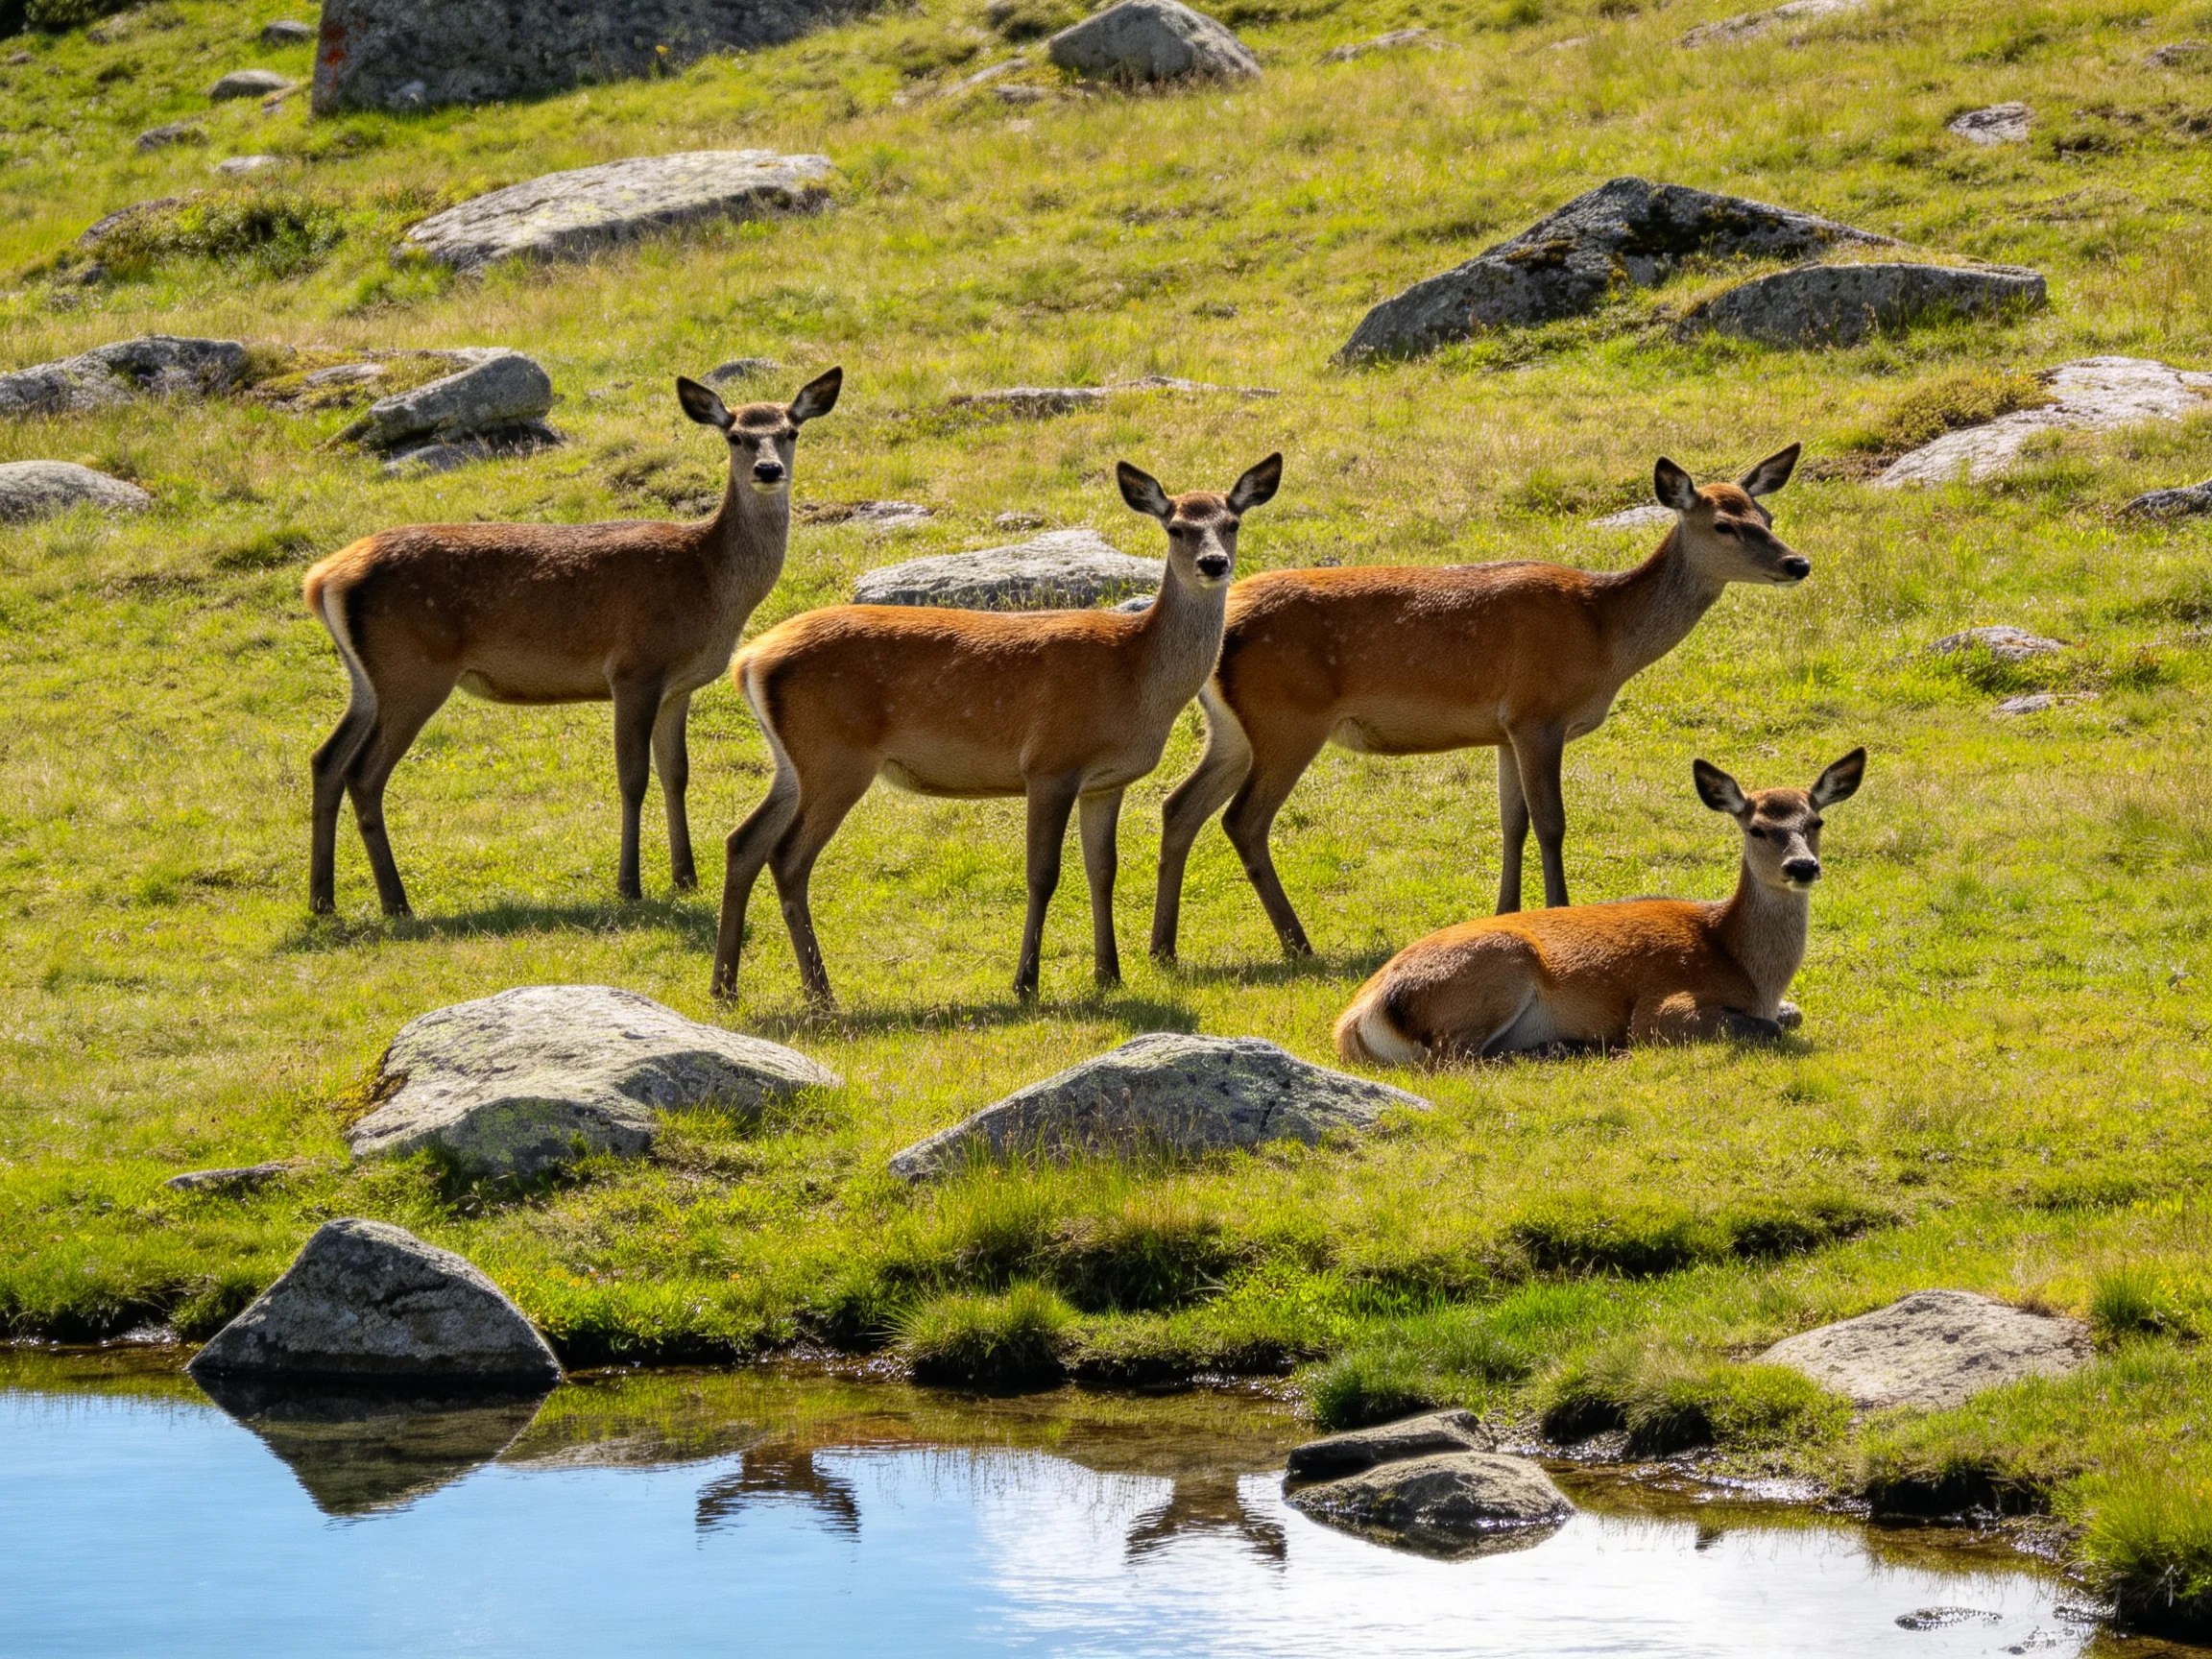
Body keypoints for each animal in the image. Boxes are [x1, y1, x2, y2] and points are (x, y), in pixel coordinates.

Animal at [303, 367, 843, 918]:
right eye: (734, 436)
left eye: (791, 431)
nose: (768, 469)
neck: (708, 582)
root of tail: (323, 577)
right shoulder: (634, 668)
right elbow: (633, 777)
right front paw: (629, 884)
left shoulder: (679, 687)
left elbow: (677, 773)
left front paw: (686, 876)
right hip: (413, 669)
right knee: (363, 772)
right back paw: (396, 902)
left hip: (370, 679)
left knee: (327, 758)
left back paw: (322, 898)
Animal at [710, 453, 1284, 1006]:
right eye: (1177, 527)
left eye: (1232, 522)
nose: (1214, 563)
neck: (1135, 675)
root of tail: (749, 660)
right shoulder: (1050, 762)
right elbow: (1043, 873)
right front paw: (1026, 982)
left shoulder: (1106, 781)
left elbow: (1103, 870)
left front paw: (1109, 975)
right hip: (836, 757)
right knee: (787, 857)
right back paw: (820, 993)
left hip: (795, 763)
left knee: (743, 841)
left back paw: (725, 986)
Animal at [1150, 443, 1809, 964]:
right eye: (1723, 524)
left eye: (1767, 514)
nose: (1796, 562)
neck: (1603, 635)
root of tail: (1222, 624)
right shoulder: (1538, 712)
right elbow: (1551, 821)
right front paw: (1560, 909)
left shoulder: (1503, 729)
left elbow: (1511, 823)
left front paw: (1505, 912)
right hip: (1288, 720)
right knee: (1243, 819)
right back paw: (1298, 945)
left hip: (1234, 731)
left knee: (1179, 806)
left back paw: (1164, 948)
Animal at [1334, 747, 1865, 1064]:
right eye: (1756, 828)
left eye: (1816, 821)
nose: (1802, 866)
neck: (1748, 970)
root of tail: (1357, 1018)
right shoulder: (1662, 1007)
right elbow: (1768, 1029)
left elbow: (1791, 1015)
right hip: (1495, 970)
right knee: (1456, 1060)